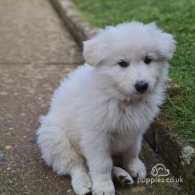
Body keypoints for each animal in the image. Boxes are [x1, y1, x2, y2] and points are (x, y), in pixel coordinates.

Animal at [36, 21, 175, 195]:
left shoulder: (136, 130)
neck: (121, 98)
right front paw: (103, 186)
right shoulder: (95, 135)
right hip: (55, 138)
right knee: (76, 165)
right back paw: (83, 183)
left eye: (148, 60)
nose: (142, 85)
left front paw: (134, 167)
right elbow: (102, 163)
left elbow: (132, 151)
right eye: (122, 63)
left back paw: (122, 176)